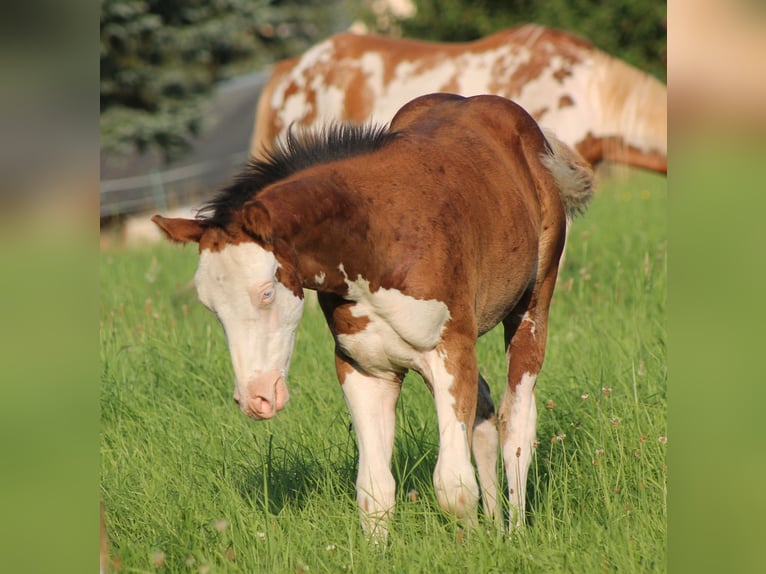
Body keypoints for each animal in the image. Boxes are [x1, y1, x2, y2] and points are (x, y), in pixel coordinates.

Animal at [153, 93, 594, 536]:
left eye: (265, 292)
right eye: (210, 306)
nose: (255, 398)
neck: (374, 237)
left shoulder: (451, 354)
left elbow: (453, 486)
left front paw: (474, 544)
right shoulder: (366, 369)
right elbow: (375, 491)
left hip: (532, 305)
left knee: (515, 422)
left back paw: (515, 530)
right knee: (484, 413)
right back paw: (496, 522)